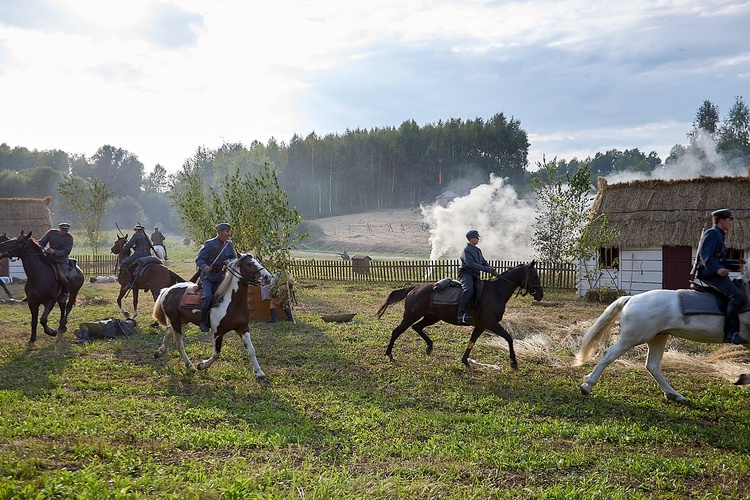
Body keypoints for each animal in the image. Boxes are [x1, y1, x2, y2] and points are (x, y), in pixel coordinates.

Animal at [378, 264, 544, 370]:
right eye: (534, 276)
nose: (541, 295)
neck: (496, 291)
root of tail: (415, 289)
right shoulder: (490, 323)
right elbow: (509, 338)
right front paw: (514, 363)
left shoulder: (481, 326)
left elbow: (472, 342)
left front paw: (465, 361)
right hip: (410, 316)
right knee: (397, 331)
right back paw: (389, 354)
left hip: (431, 317)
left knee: (417, 327)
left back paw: (429, 347)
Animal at [576, 266, 750, 402]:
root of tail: (631, 298)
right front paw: (741, 379)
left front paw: (741, 378)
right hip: (632, 338)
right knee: (608, 354)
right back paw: (587, 385)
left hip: (657, 338)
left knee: (652, 366)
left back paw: (673, 394)